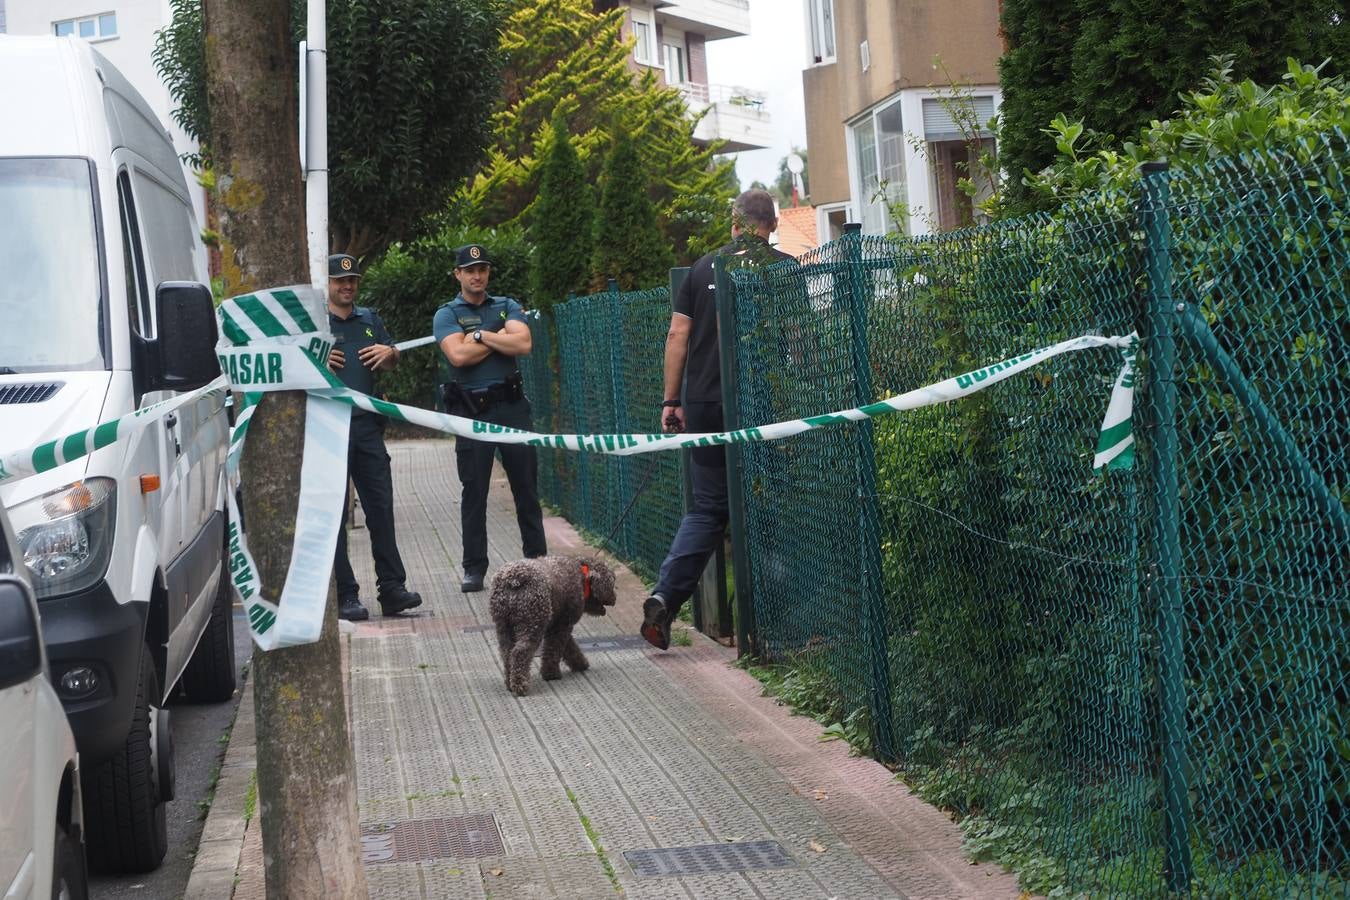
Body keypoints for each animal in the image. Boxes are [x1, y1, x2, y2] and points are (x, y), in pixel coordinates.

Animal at [491, 555, 618, 696]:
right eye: (612, 583)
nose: (615, 598)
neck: (581, 575)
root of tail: (514, 580)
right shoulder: (561, 627)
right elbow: (554, 650)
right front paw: (551, 673)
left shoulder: (560, 625)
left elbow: (570, 648)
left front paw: (580, 663)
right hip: (532, 626)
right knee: (520, 653)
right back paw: (520, 684)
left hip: (504, 628)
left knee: (507, 654)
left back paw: (509, 682)